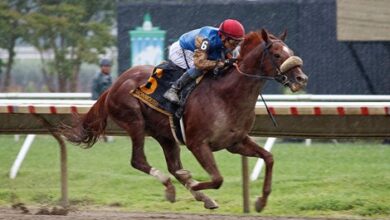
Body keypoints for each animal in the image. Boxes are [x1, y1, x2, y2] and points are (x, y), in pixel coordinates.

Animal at [63, 29, 308, 211]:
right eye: (277, 55)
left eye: (290, 51)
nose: (301, 79)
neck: (227, 95)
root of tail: (114, 84)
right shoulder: (198, 143)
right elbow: (217, 179)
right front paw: (196, 184)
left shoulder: (236, 142)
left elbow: (269, 158)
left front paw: (260, 201)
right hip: (134, 121)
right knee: (139, 161)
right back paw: (172, 188)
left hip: (165, 135)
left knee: (172, 166)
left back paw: (198, 194)